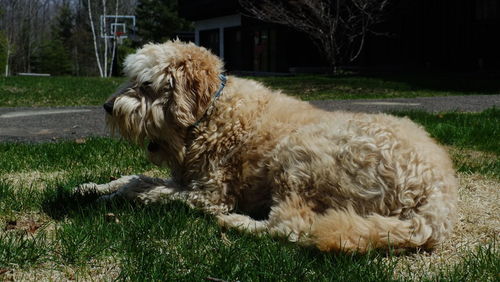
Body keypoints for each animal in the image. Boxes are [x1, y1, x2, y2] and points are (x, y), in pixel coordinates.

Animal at [77, 40, 458, 252]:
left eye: (145, 85)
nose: (107, 107)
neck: (212, 111)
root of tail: (439, 196)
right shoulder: (185, 178)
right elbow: (136, 177)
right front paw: (91, 187)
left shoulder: (209, 194)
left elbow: (142, 189)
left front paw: (110, 199)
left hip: (300, 156)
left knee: (291, 225)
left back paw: (237, 223)